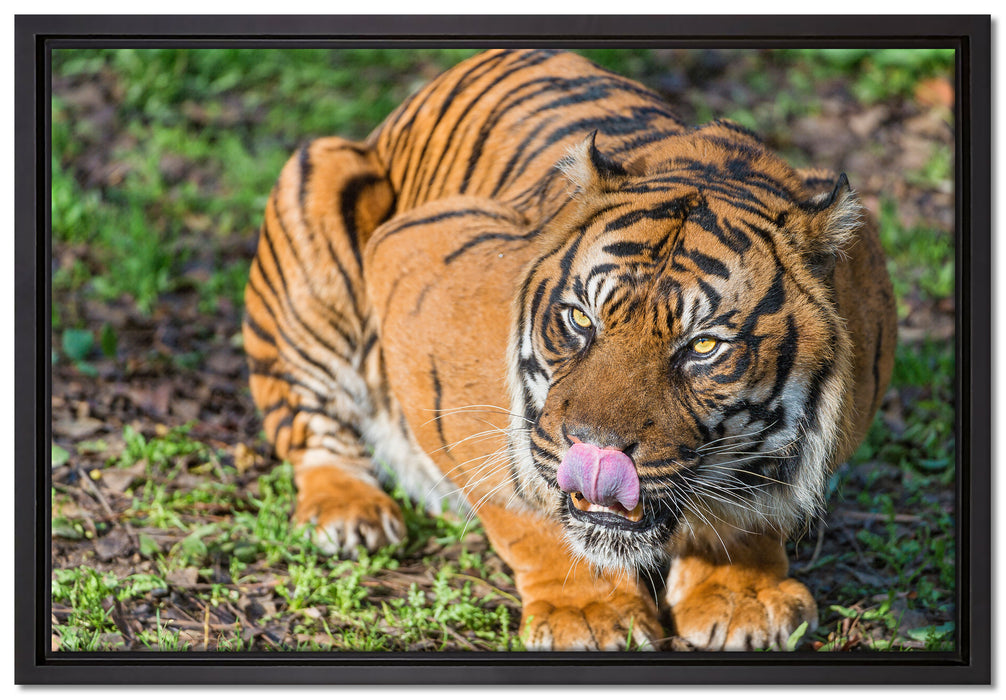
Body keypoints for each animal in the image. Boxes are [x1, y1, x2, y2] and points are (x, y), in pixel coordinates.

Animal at [243, 48, 897, 651]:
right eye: (582, 319)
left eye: (704, 346)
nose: (597, 450)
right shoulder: (422, 271)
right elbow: (528, 507)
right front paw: (589, 612)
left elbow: (751, 510)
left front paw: (742, 596)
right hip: (315, 201)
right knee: (308, 425)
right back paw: (349, 513)